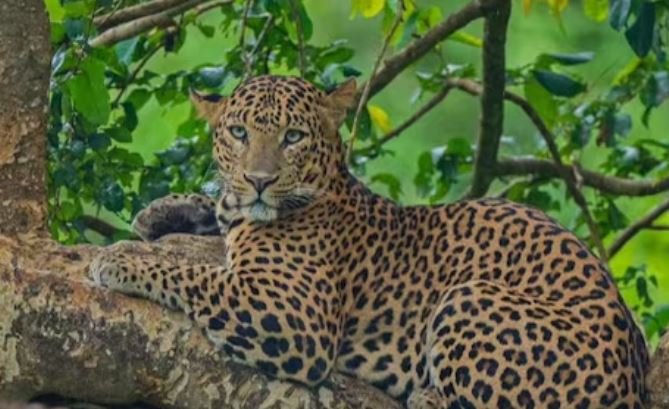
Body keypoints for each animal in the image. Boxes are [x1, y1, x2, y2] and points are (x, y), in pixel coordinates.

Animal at [90, 75, 649, 408]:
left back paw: (427, 394)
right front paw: (162, 211)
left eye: (293, 137)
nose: (260, 180)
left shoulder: (293, 316)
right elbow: (216, 214)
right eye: (238, 133)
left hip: (470, 296)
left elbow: (195, 274)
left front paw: (121, 260)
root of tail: (633, 383)